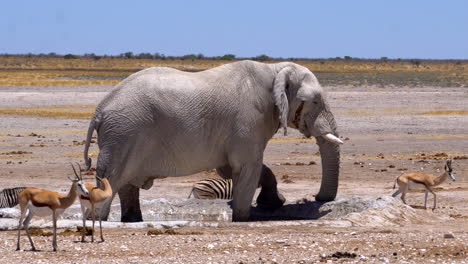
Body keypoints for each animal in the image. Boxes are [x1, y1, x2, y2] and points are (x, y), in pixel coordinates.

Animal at [82, 59, 342, 221]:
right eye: (316, 101)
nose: (317, 198)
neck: (275, 69)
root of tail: (100, 110)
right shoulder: (249, 121)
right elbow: (247, 167)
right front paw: (243, 218)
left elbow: (233, 168)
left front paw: (273, 203)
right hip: (122, 135)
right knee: (112, 181)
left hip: (123, 135)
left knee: (127, 186)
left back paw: (132, 220)